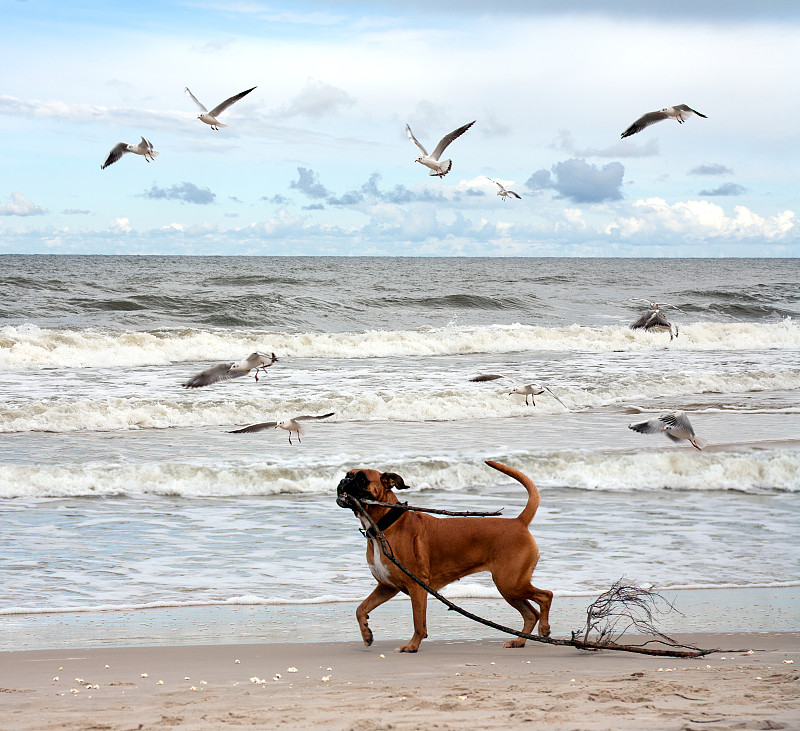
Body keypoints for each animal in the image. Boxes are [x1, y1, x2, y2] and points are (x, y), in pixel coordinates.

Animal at [334, 460, 552, 656]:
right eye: (347, 475)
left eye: (361, 479)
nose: (343, 481)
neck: (385, 524)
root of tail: (519, 522)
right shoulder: (386, 587)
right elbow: (361, 609)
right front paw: (366, 634)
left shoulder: (417, 587)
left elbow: (418, 623)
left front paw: (412, 646)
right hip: (509, 588)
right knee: (531, 614)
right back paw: (520, 641)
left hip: (510, 583)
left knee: (546, 596)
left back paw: (544, 628)